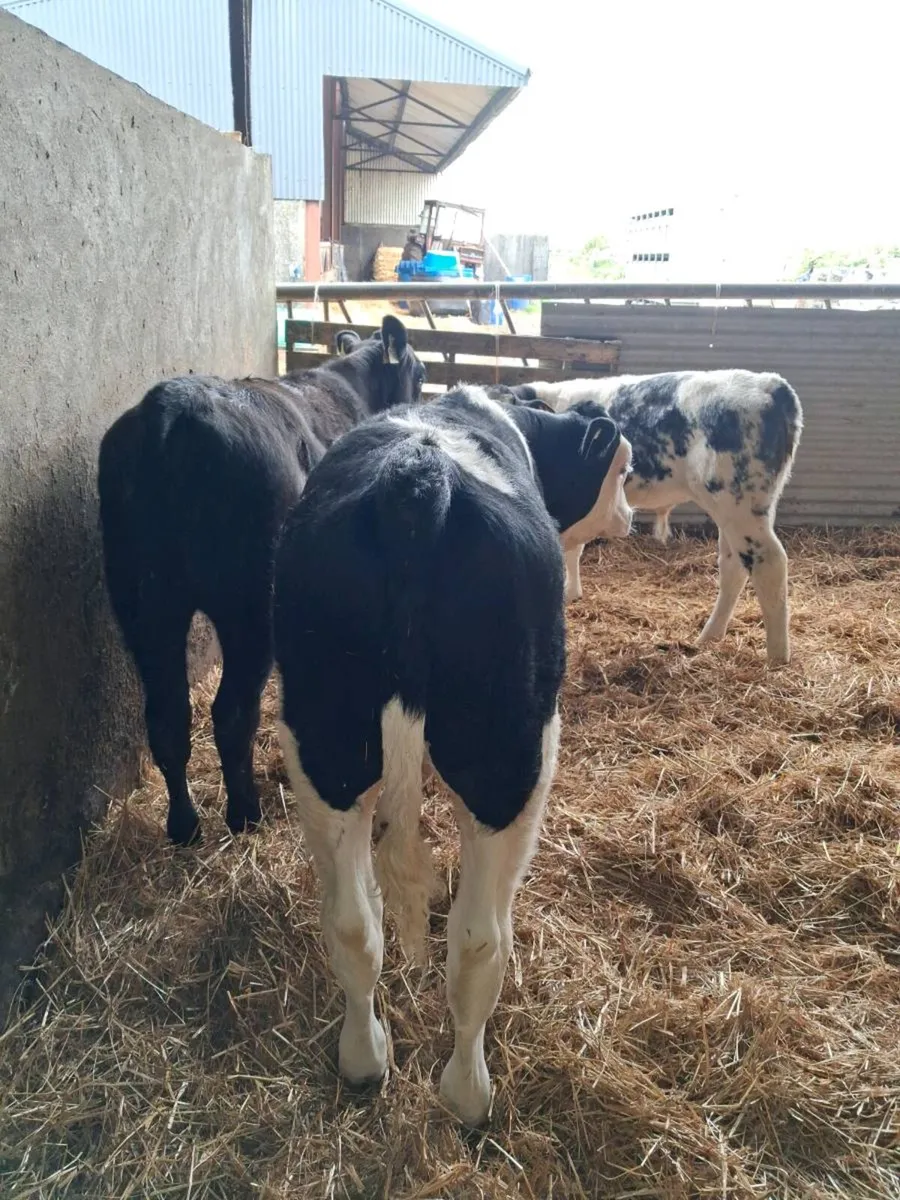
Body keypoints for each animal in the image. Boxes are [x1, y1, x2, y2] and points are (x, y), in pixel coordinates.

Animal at [97, 315, 426, 846]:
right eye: (419, 375)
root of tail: (172, 405)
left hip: (145, 603)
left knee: (167, 718)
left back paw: (184, 826)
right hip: (248, 605)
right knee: (231, 712)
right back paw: (244, 812)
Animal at [273, 384, 632, 1125]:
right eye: (622, 471)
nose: (632, 517)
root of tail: (418, 477)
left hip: (325, 739)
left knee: (353, 924)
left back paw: (364, 1059)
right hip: (512, 757)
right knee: (479, 941)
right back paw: (469, 1095)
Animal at [494, 371, 803, 666]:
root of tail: (772, 384)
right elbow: (574, 550)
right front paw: (572, 592)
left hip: (738, 503)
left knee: (769, 562)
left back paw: (777, 657)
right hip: (736, 510)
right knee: (734, 564)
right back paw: (710, 637)